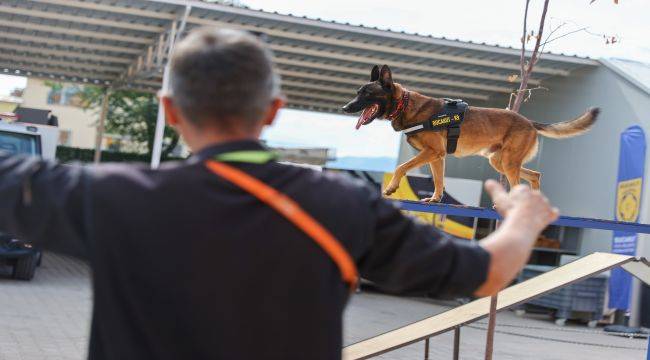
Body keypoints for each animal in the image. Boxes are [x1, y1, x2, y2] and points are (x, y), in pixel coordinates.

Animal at [342, 64, 596, 202]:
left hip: (508, 163)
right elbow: (438, 180)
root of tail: (529, 122)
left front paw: (391, 187)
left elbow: (401, 167)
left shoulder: (432, 152)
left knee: (518, 185)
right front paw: (435, 199)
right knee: (534, 175)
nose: (345, 108)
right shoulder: (437, 157)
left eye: (366, 94)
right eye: (357, 92)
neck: (404, 105)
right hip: (500, 162)